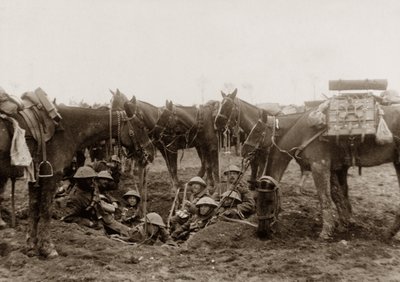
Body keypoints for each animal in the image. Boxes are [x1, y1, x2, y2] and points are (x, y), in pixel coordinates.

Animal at [0, 97, 155, 258]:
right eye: (140, 126)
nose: (150, 153)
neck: (67, 129)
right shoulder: (52, 176)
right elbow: (46, 210)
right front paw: (47, 248)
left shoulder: (36, 177)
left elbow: (34, 208)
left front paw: (31, 246)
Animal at [241, 106, 400, 240]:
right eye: (256, 200)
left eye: (256, 132)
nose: (262, 232)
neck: (303, 132)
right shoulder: (335, 168)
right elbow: (337, 195)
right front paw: (344, 223)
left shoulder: (319, 166)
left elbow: (324, 197)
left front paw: (327, 230)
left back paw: (390, 232)